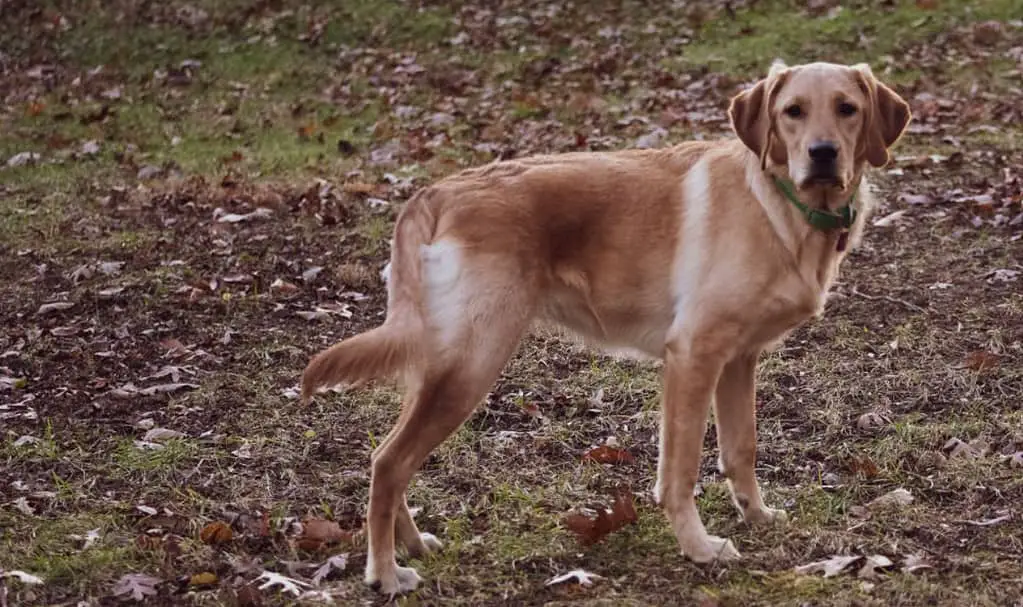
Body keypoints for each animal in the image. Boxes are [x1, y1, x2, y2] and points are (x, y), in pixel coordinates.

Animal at [298, 60, 912, 593]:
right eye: (792, 112)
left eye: (847, 108)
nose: (823, 153)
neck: (779, 204)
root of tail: (437, 191)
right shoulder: (693, 355)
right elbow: (680, 472)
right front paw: (699, 548)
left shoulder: (739, 359)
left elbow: (742, 449)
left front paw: (757, 515)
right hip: (473, 363)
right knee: (389, 461)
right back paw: (384, 572)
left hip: (442, 364)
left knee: (392, 456)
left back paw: (411, 543)